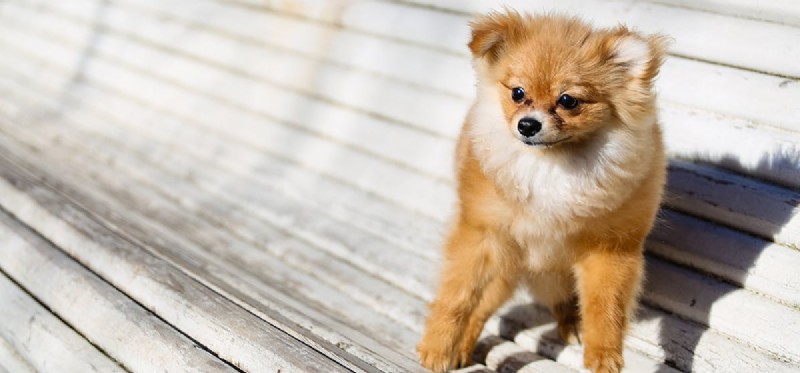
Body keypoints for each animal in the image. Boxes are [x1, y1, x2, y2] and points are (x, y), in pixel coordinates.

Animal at [416, 11, 664, 372]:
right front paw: (439, 346)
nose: (528, 124)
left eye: (568, 101)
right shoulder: (481, 236)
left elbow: (606, 308)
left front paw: (603, 356)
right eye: (518, 93)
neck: (550, 165)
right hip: (504, 267)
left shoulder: (611, 250)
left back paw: (572, 324)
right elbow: (457, 296)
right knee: (481, 307)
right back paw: (461, 347)